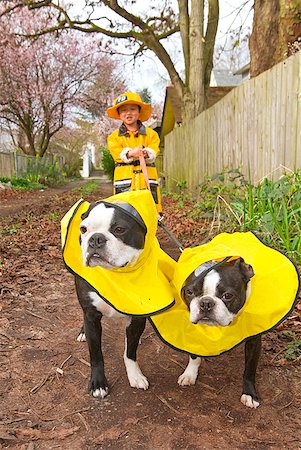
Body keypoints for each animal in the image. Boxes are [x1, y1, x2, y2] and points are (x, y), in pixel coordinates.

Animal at [75, 203, 148, 398]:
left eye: (119, 229)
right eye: (83, 229)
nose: (95, 238)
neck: (113, 275)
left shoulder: (138, 318)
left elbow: (130, 352)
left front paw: (135, 375)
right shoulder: (91, 316)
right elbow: (96, 354)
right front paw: (98, 383)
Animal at [177, 256, 258, 408]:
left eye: (228, 295)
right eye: (189, 292)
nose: (206, 303)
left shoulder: (254, 339)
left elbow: (250, 368)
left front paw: (249, 394)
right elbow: (194, 356)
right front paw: (190, 374)